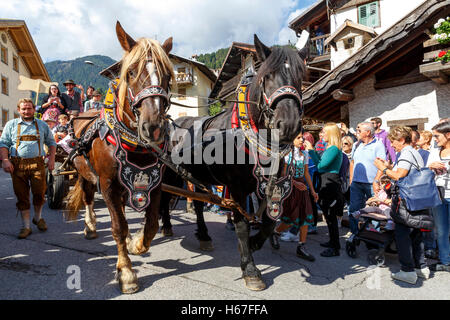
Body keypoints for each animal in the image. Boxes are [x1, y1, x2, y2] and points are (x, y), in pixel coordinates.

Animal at [66, 21, 175, 294]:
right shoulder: (106, 184)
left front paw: (136, 243)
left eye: (168, 76)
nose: (153, 127)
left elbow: (151, 224)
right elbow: (116, 226)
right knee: (87, 198)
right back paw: (90, 226)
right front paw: (125, 272)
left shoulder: (154, 183)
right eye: (131, 73)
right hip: (85, 173)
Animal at [162, 35, 306, 290]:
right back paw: (167, 225)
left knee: (197, 203)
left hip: (198, 177)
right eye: (267, 76)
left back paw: (203, 235)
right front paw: (250, 268)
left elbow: (269, 221)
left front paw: (255, 242)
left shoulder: (267, 184)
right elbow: (241, 224)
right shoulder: (237, 188)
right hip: (169, 173)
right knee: (162, 197)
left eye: (300, 76)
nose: (288, 125)